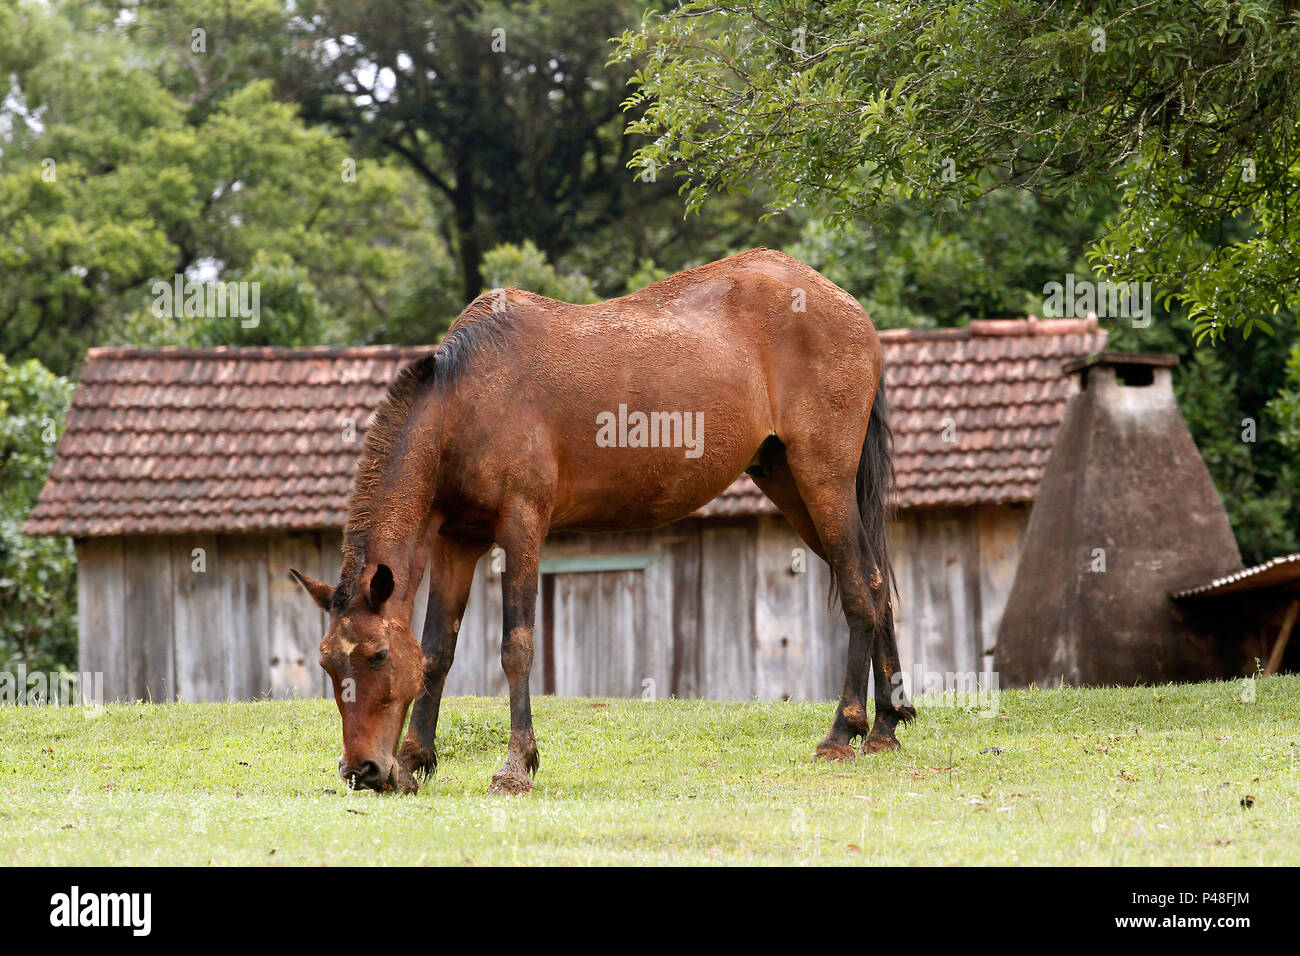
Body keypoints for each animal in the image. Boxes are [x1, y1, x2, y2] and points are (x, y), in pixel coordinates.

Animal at [288, 247, 915, 790]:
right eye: (327, 664)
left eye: (377, 656)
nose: (363, 770)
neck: (464, 399)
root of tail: (844, 303)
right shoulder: (457, 542)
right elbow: (438, 650)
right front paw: (418, 759)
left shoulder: (522, 528)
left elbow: (516, 647)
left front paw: (516, 765)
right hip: (789, 481)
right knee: (876, 584)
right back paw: (886, 724)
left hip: (822, 478)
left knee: (858, 591)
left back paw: (843, 731)